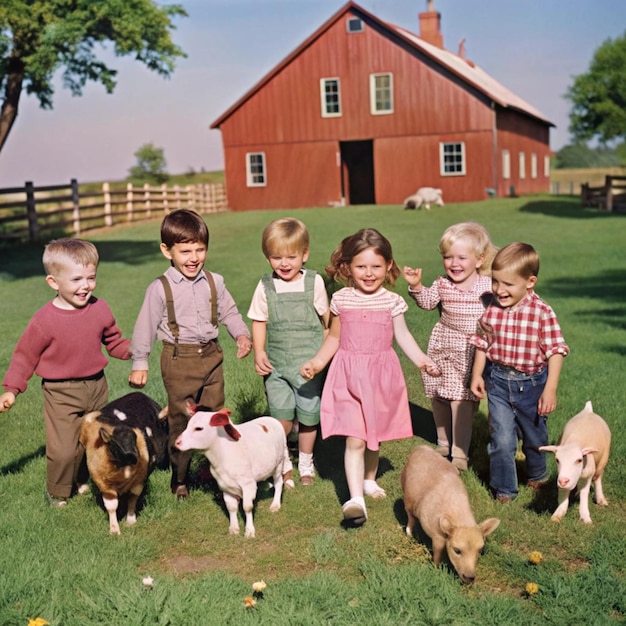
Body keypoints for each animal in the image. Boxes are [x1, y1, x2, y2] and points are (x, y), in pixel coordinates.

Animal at [174, 404, 292, 536]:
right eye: (187, 425)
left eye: (198, 428)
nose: (177, 442)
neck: (223, 453)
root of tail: (272, 419)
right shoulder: (224, 484)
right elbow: (231, 507)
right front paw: (234, 528)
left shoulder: (247, 483)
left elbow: (247, 507)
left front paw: (249, 531)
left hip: (279, 463)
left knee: (279, 483)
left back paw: (275, 505)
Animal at [400, 444, 498, 580]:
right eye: (457, 550)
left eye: (479, 550)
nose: (470, 578)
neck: (460, 518)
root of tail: (420, 447)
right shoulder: (437, 536)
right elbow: (437, 554)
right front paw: (436, 569)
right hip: (407, 495)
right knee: (410, 516)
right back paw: (409, 533)